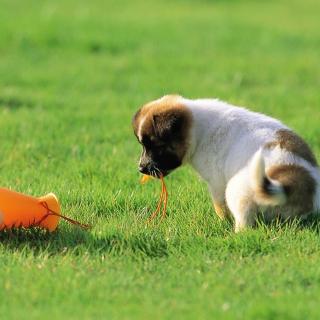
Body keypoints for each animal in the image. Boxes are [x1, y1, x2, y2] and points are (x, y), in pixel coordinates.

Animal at [132, 94, 320, 231]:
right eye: (143, 145)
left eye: (157, 146)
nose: (141, 168)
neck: (198, 129)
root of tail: (296, 185)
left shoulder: (217, 183)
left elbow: (220, 207)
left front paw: (223, 222)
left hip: (237, 190)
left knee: (244, 222)